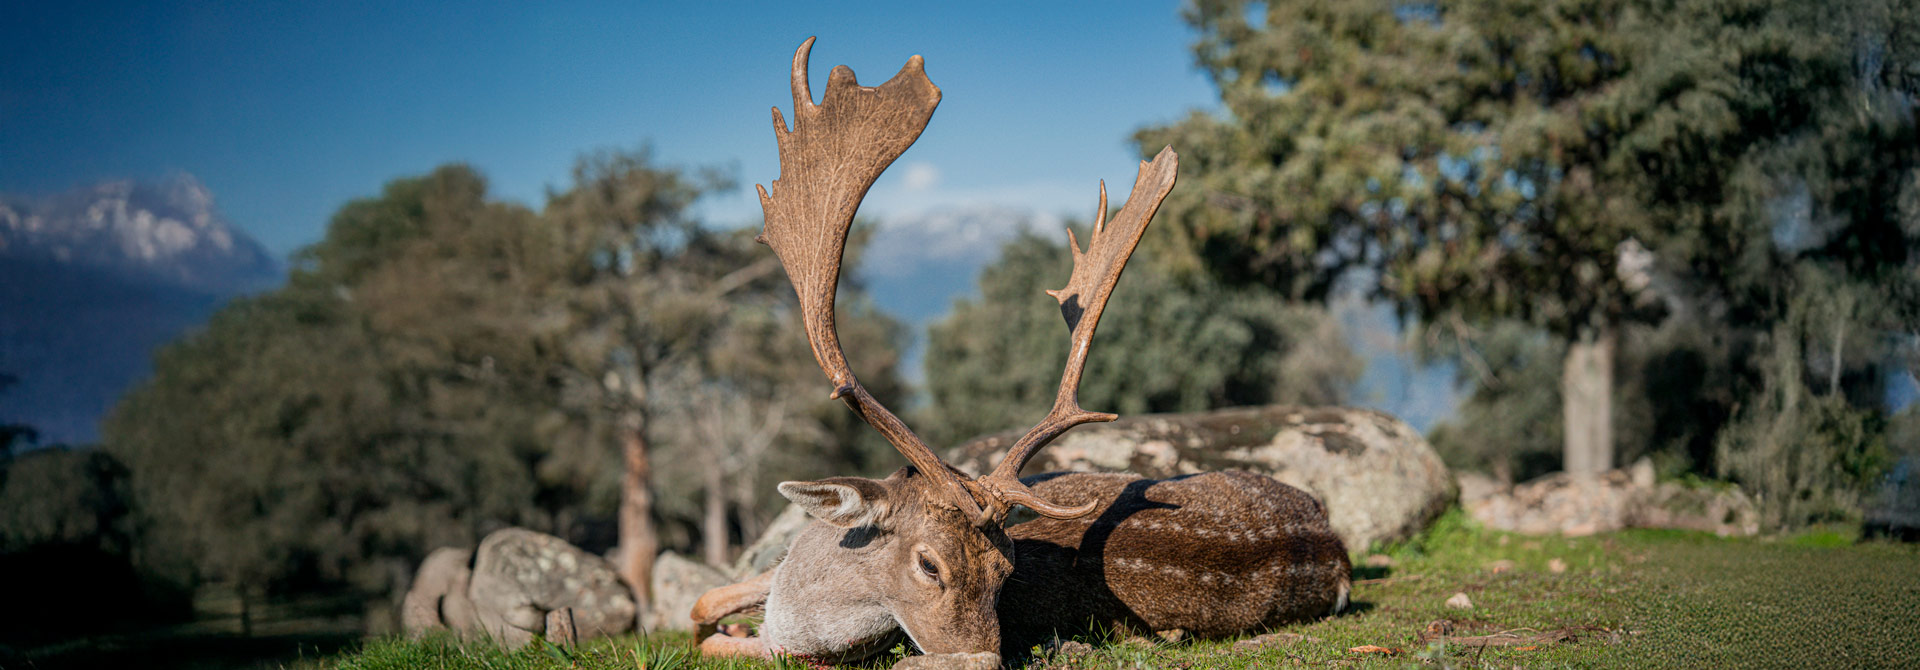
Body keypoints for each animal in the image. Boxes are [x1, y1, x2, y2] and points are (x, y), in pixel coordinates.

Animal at [689, 38, 1352, 669]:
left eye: (1006, 571)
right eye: (928, 564)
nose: (985, 656)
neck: (793, 616)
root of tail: (1336, 549)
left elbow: (707, 628)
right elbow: (703, 602)